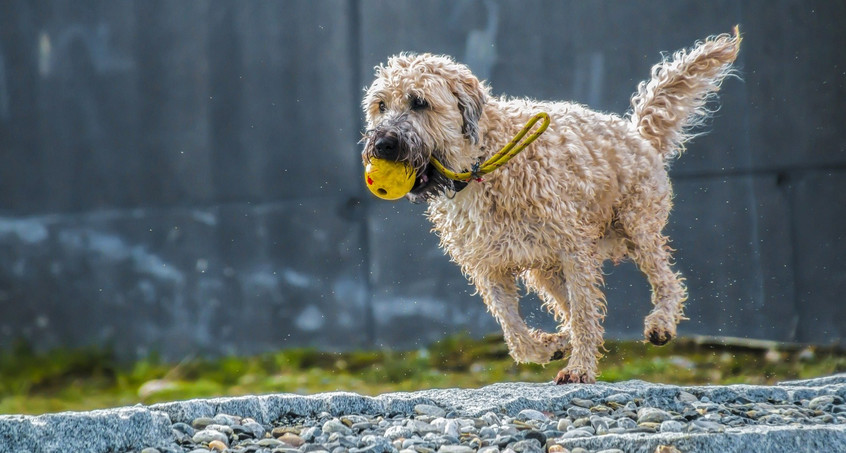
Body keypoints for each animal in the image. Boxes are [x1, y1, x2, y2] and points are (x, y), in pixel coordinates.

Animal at [362, 29, 744, 382]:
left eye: (419, 102)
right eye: (381, 105)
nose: (382, 144)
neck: (483, 163)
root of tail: (637, 135)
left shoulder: (573, 249)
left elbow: (585, 312)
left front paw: (579, 368)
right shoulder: (489, 266)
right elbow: (515, 331)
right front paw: (550, 347)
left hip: (637, 227)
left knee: (666, 280)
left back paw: (661, 324)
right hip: (545, 269)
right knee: (574, 305)